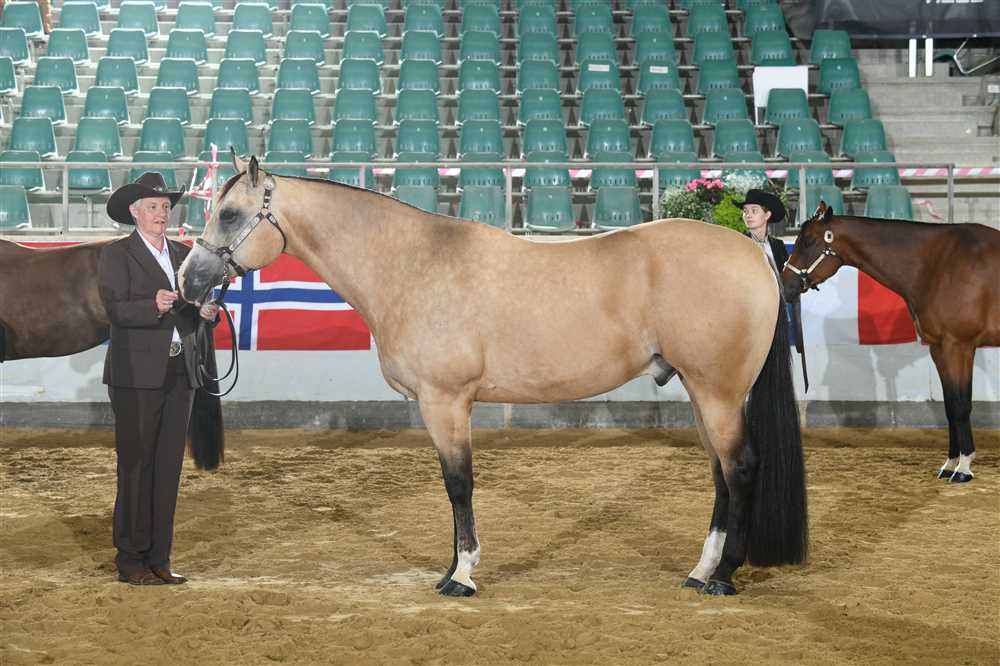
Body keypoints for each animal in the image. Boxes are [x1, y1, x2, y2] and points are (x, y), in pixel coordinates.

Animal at [178, 153, 808, 597]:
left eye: (229, 214)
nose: (189, 279)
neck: (413, 264)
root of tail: (753, 255)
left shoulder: (446, 401)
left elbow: (458, 484)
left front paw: (462, 576)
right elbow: (452, 487)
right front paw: (450, 568)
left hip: (718, 391)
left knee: (740, 469)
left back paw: (723, 578)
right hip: (702, 393)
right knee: (721, 475)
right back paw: (701, 570)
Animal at [781, 202, 1000, 482]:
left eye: (808, 241)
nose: (785, 285)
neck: (937, 264)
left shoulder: (958, 346)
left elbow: (961, 405)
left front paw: (963, 468)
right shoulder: (939, 348)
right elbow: (950, 405)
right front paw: (950, 464)